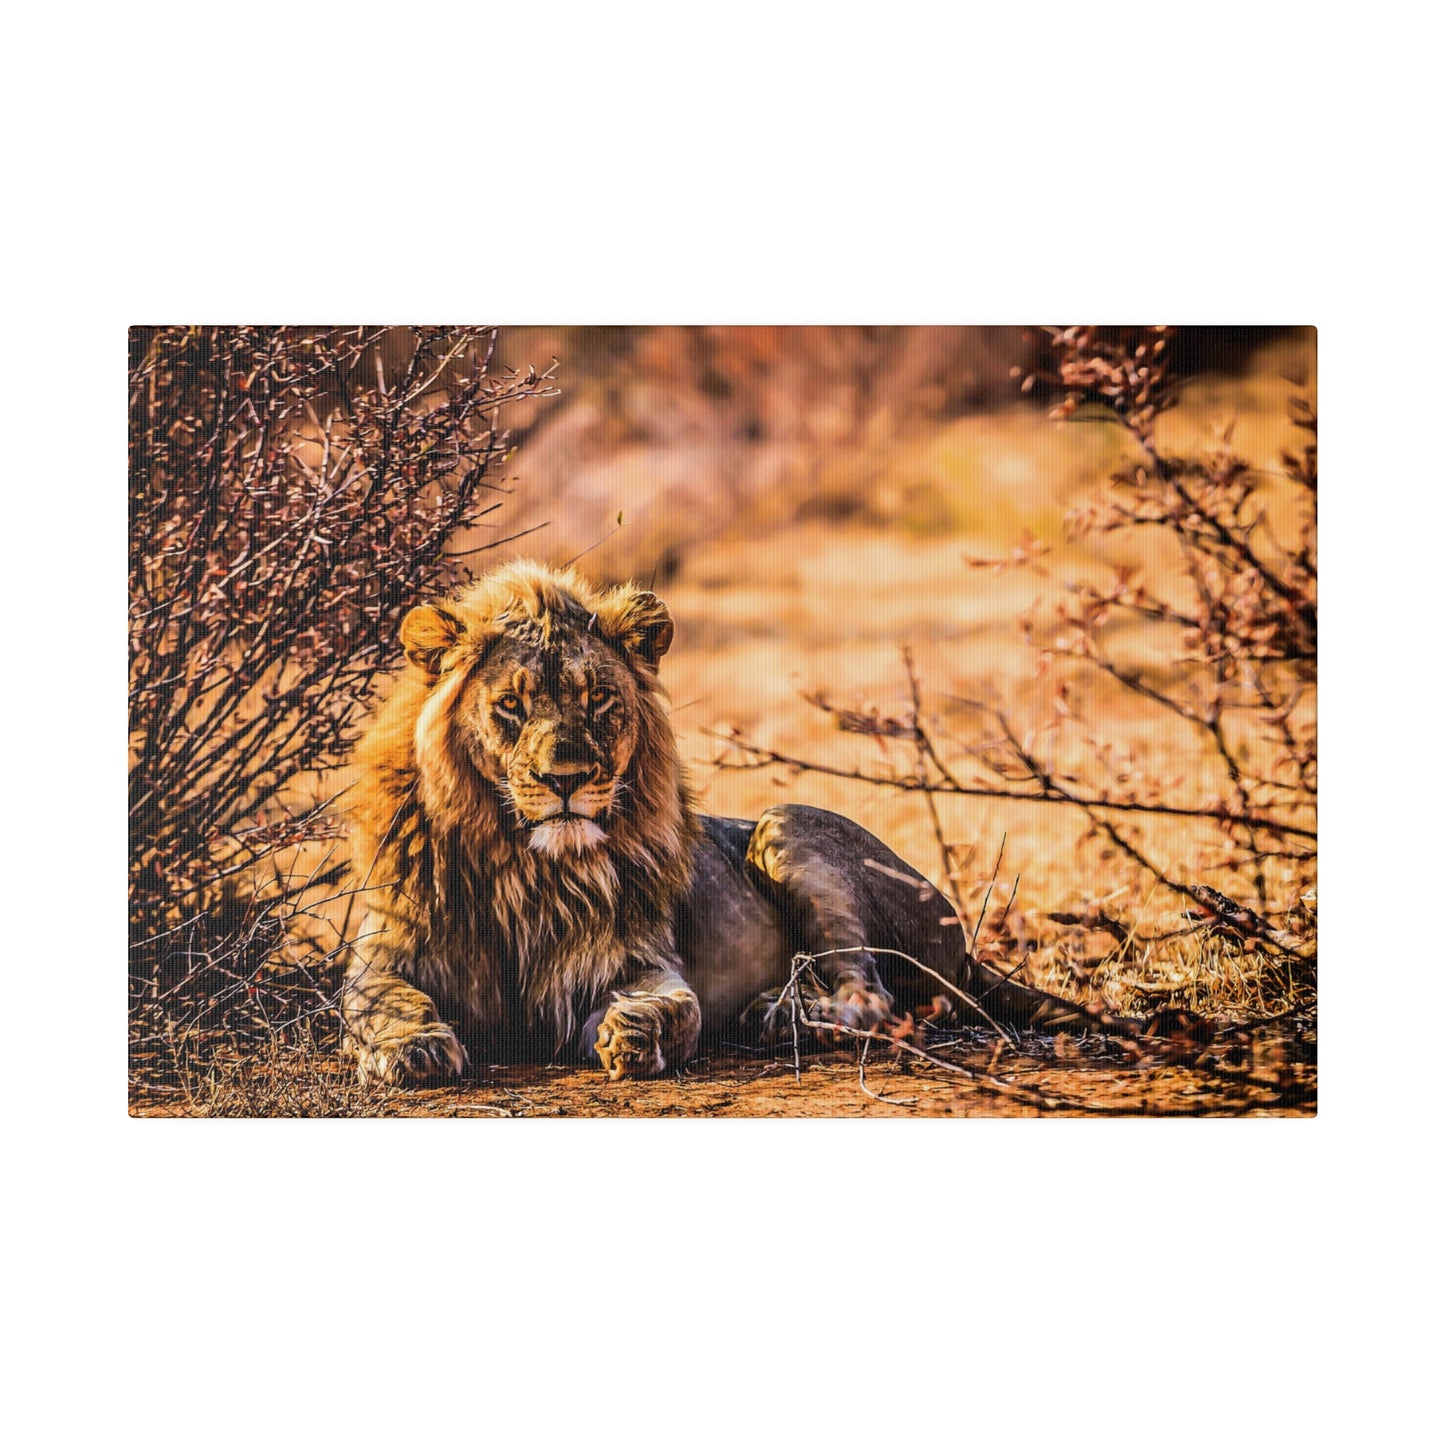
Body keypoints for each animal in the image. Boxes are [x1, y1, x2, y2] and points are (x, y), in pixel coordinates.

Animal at [343, 557, 1109, 1080]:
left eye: (598, 701)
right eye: (511, 704)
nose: (567, 780)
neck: (523, 865)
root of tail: (967, 946)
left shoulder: (638, 961)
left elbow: (674, 1008)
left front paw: (636, 1035)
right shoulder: (384, 953)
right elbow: (381, 1003)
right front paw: (413, 1047)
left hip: (786, 826)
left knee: (875, 997)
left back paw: (784, 1017)